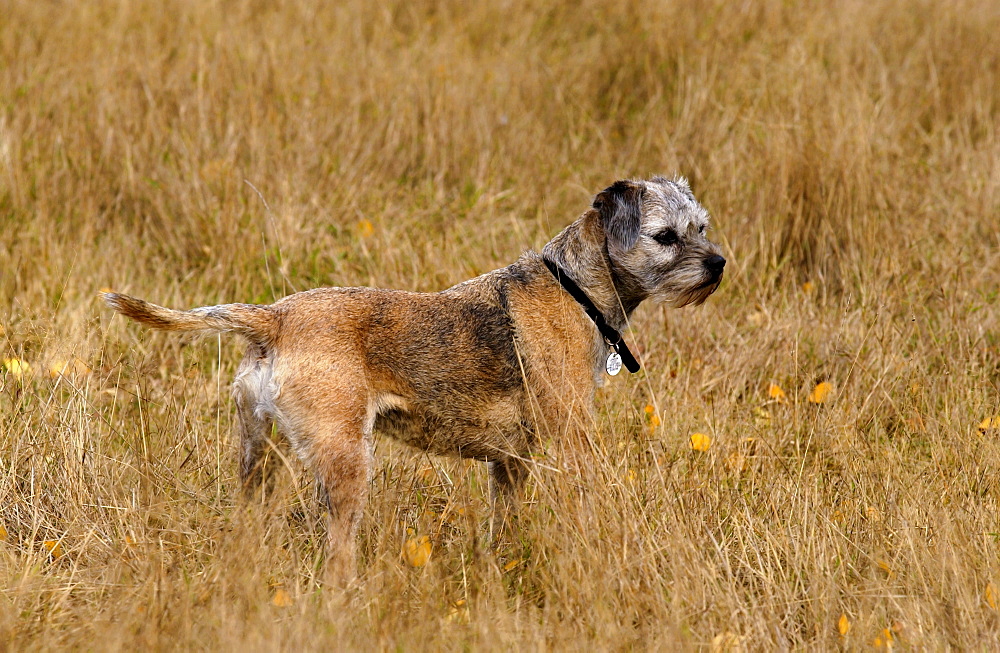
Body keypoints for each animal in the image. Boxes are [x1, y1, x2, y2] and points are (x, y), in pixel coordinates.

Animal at [101, 176, 728, 580]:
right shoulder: (573, 438)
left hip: (260, 457)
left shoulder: (512, 463)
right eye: (667, 236)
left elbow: (505, 525)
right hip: (347, 462)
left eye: (701, 226)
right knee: (338, 554)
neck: (576, 287)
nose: (719, 263)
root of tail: (275, 317)